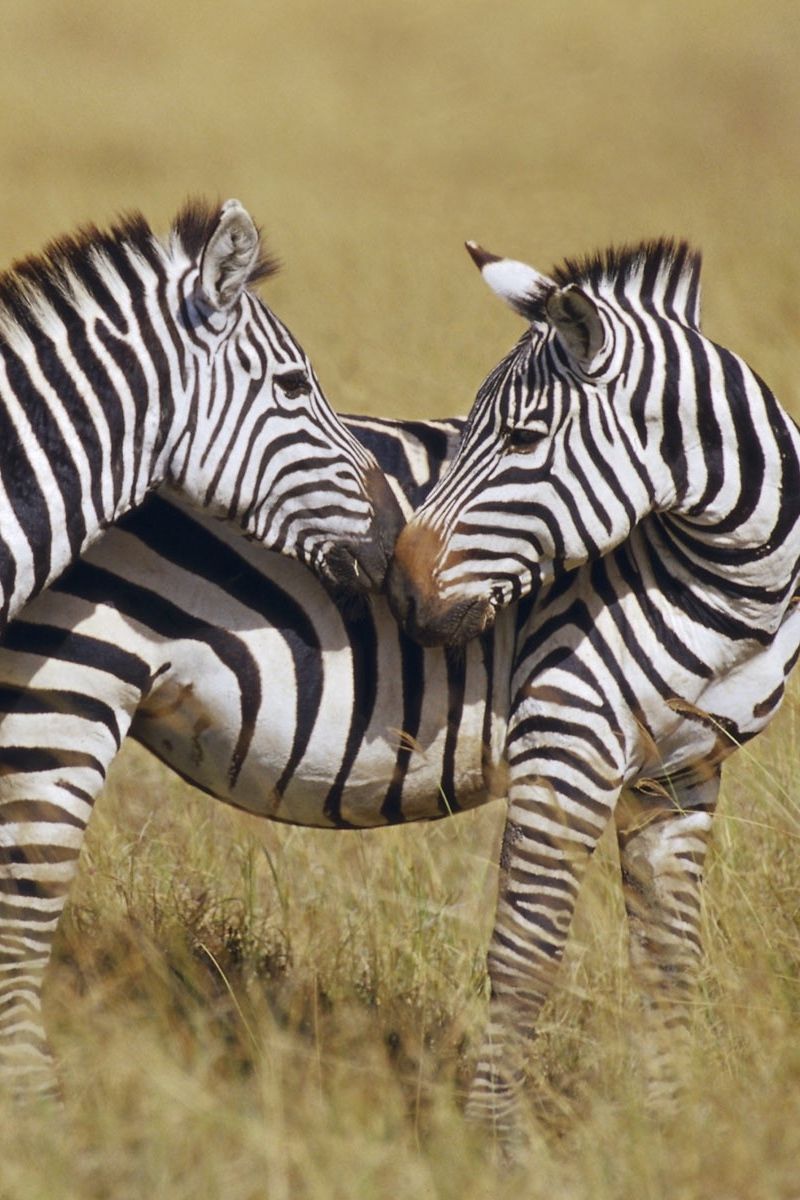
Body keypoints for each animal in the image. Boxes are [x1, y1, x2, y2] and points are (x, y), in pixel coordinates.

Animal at [386, 237, 800, 1138]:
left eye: (523, 436)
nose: (395, 593)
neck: (737, 591)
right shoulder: (565, 739)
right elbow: (524, 953)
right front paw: (493, 1142)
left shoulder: (681, 773)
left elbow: (670, 962)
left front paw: (667, 1129)